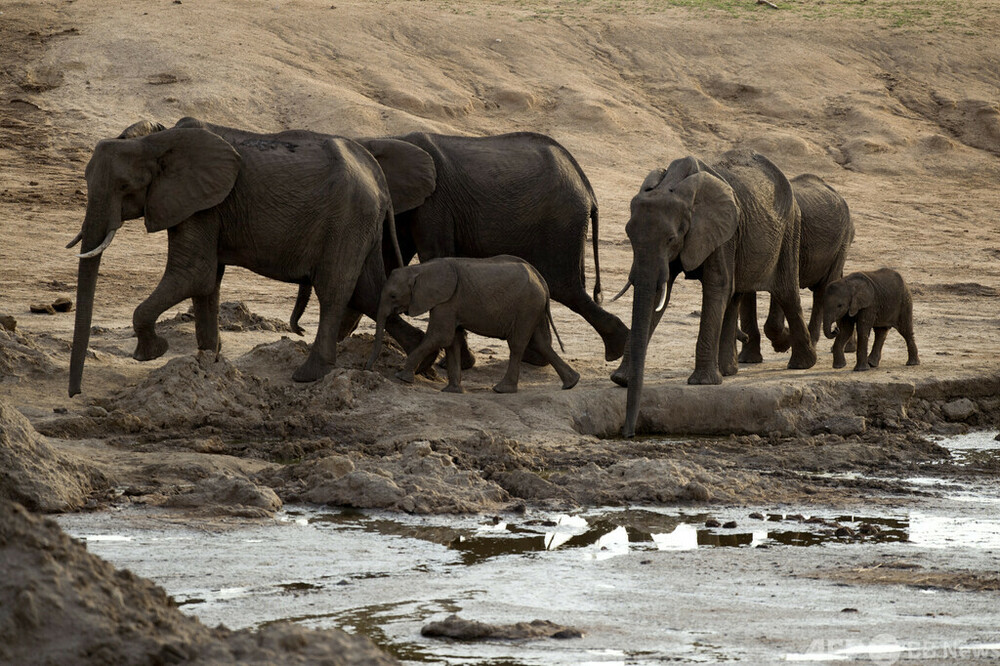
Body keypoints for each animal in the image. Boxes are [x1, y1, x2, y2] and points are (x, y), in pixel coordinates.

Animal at [67, 117, 435, 396]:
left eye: (124, 186)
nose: (76, 394)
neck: (158, 138)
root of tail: (378, 178)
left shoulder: (202, 205)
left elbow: (192, 274)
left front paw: (151, 354)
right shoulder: (204, 204)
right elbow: (206, 282)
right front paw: (208, 361)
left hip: (348, 219)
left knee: (335, 290)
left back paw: (308, 375)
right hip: (361, 223)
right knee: (368, 292)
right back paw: (427, 361)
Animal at [296, 131, 629, 368]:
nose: (300, 333)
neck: (386, 137)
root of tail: (586, 185)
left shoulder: (434, 203)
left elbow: (434, 257)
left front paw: (454, 365)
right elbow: (386, 264)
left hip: (561, 221)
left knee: (564, 286)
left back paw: (616, 349)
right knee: (555, 285)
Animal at [366, 256, 580, 394]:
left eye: (393, 296)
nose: (368, 368)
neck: (420, 269)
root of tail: (542, 281)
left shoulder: (447, 300)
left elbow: (440, 336)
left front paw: (401, 376)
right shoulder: (451, 303)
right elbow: (451, 340)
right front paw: (452, 391)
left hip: (527, 306)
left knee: (518, 345)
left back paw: (502, 389)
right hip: (534, 307)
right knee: (540, 343)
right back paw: (571, 383)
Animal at [611, 150, 817, 438]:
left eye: (671, 239)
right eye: (628, 235)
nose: (629, 433)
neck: (673, 184)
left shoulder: (722, 230)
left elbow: (716, 284)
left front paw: (701, 383)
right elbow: (661, 294)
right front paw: (620, 379)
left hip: (789, 228)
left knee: (785, 292)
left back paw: (801, 365)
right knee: (736, 294)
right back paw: (729, 371)